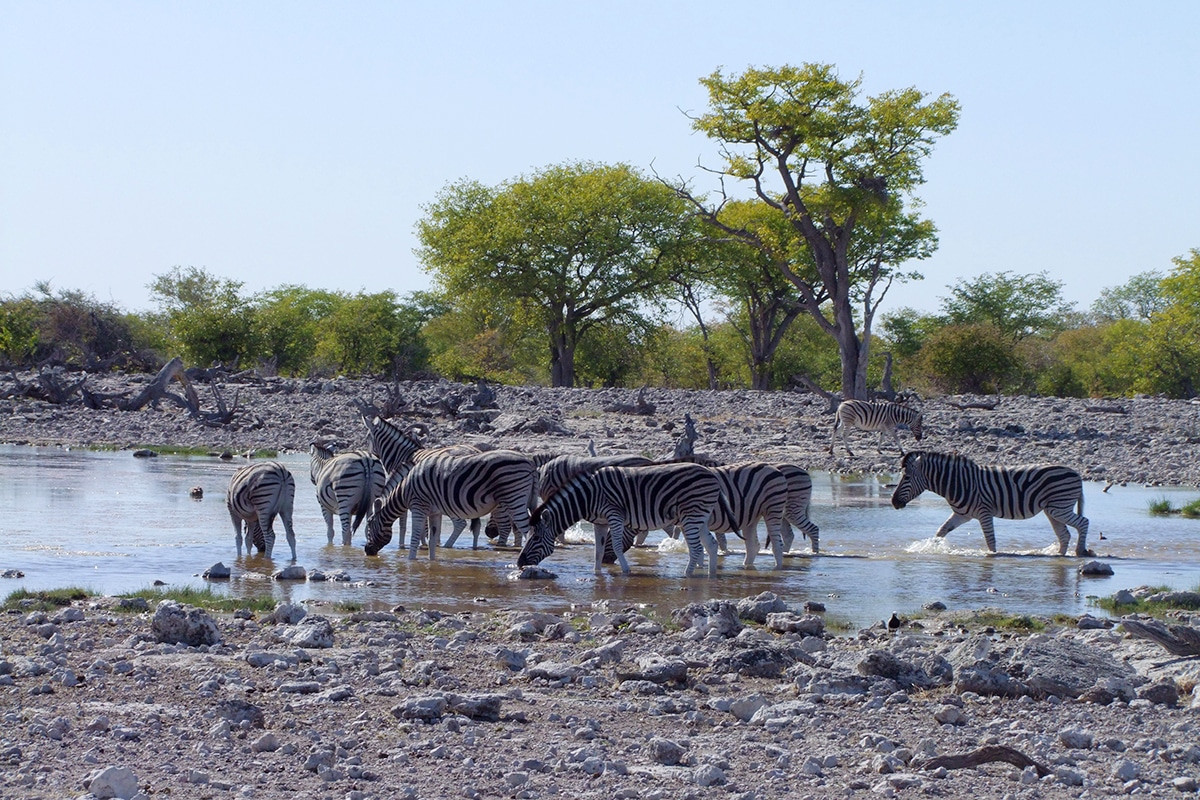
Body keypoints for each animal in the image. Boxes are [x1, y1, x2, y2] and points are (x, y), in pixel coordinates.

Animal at [366, 449, 536, 560]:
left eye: (368, 529)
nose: (367, 551)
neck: (405, 490)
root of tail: (530, 462)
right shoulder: (434, 512)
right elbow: (432, 540)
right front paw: (432, 563)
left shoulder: (418, 506)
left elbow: (415, 537)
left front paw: (411, 561)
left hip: (514, 497)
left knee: (528, 531)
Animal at [518, 462, 725, 577]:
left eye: (536, 538)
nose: (520, 563)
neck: (588, 497)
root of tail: (712, 474)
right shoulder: (600, 523)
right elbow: (598, 550)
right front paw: (597, 573)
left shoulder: (614, 515)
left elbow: (617, 546)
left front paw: (625, 571)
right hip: (700, 517)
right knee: (711, 545)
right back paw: (712, 575)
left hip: (691, 515)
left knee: (697, 548)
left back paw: (687, 575)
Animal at [890, 450, 1090, 556]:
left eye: (906, 477)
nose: (893, 502)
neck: (958, 483)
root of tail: (1077, 474)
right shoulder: (962, 514)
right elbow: (941, 531)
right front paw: (932, 548)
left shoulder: (983, 512)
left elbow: (990, 540)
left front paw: (992, 557)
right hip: (1052, 510)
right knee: (1064, 535)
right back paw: (1059, 556)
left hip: (1059, 507)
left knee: (1083, 522)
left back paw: (1080, 551)